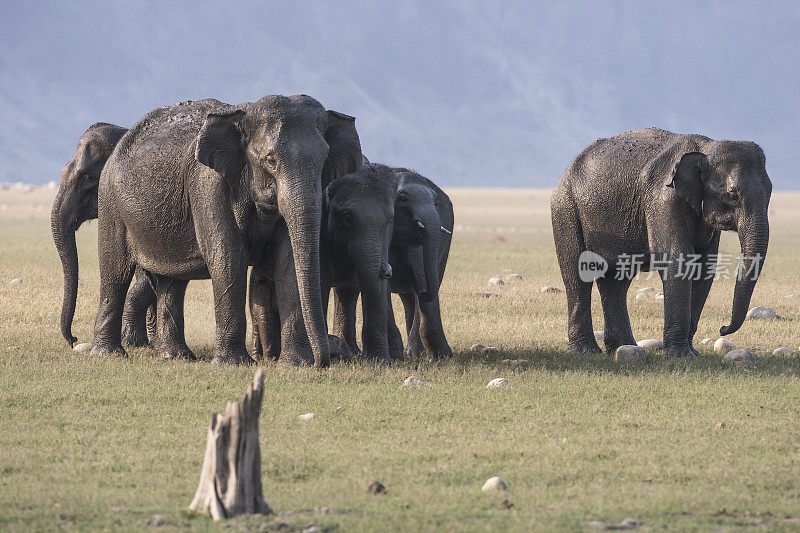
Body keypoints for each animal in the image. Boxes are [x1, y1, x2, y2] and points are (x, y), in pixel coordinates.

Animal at [91, 95, 362, 366]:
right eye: (270, 161)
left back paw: (175, 355)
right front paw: (233, 363)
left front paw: (295, 364)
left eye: (324, 160)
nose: (322, 362)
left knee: (173, 280)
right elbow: (228, 258)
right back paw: (107, 353)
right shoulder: (208, 184)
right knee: (115, 271)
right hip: (109, 199)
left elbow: (288, 261)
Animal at [552, 128, 772, 358]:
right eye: (732, 195)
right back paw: (586, 351)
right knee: (578, 274)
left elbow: (704, 267)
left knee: (616, 281)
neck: (705, 148)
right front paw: (680, 356)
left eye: (771, 192)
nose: (723, 328)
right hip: (565, 209)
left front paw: (693, 353)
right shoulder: (663, 199)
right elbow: (676, 258)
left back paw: (623, 347)